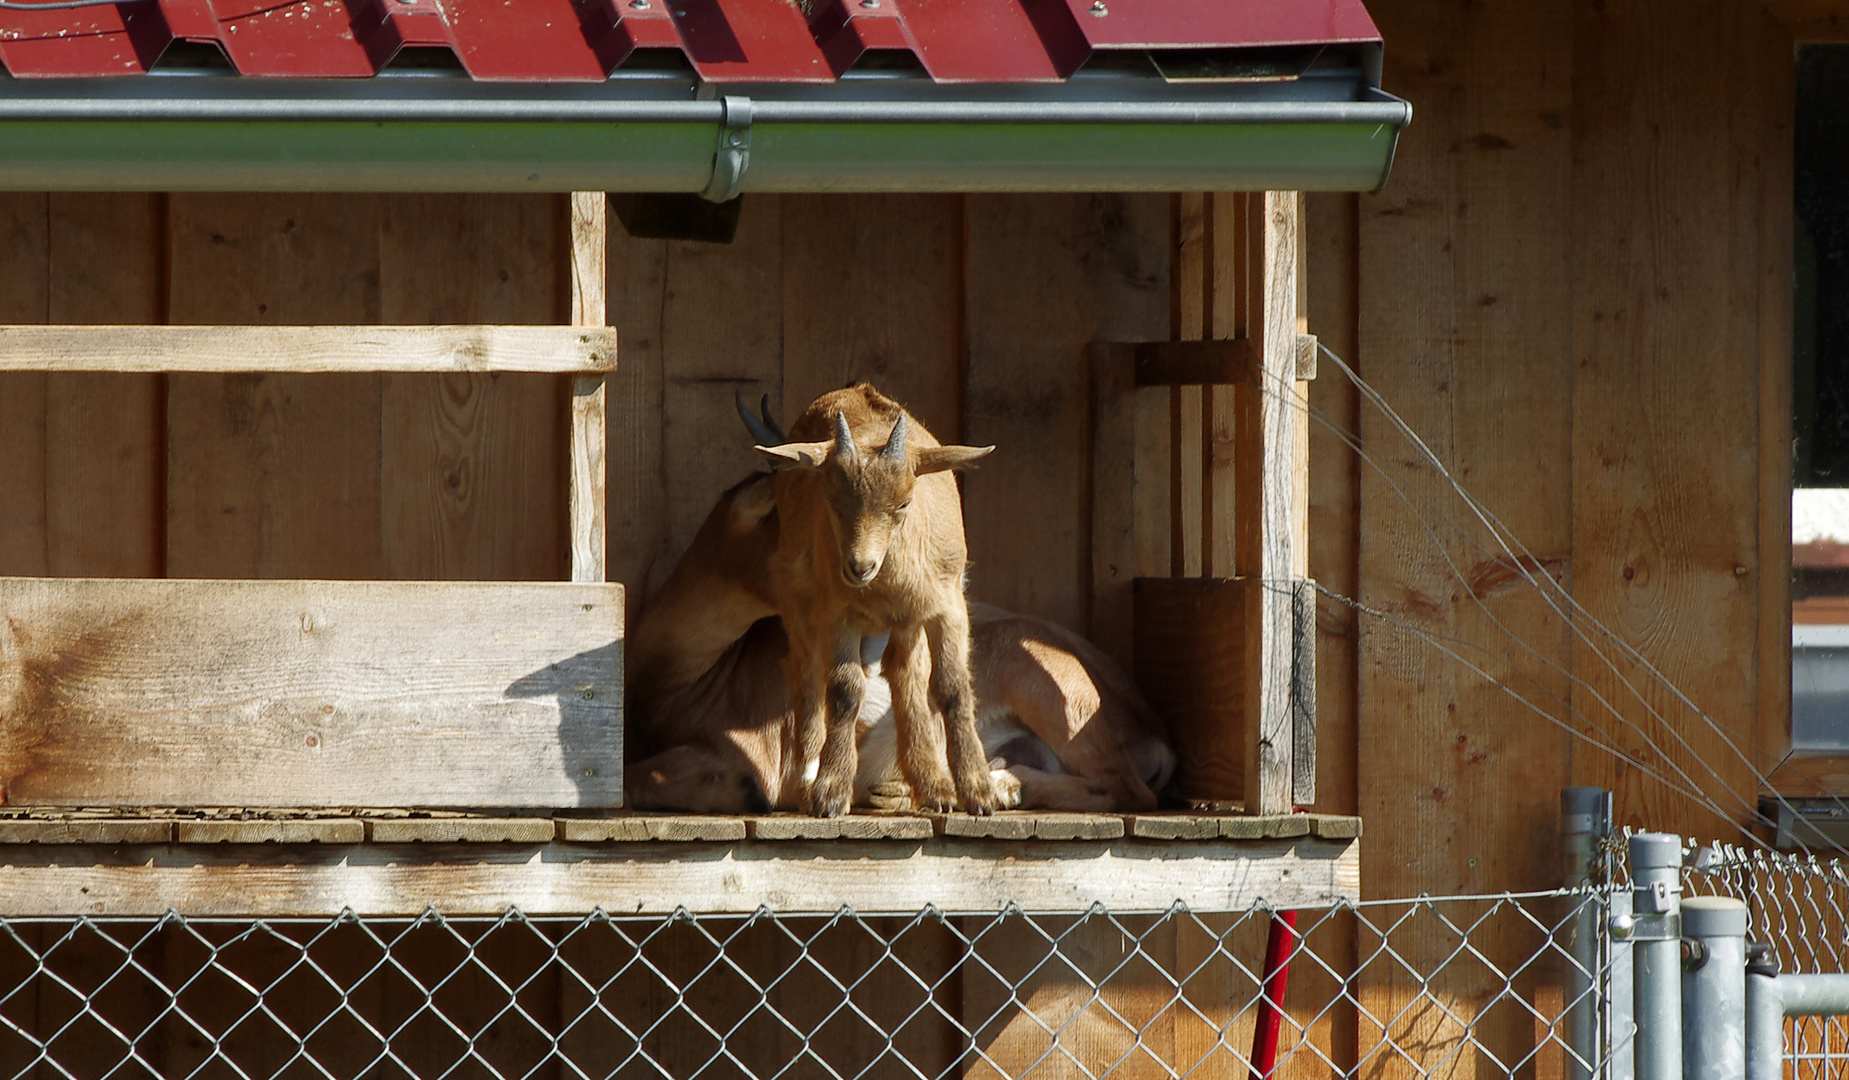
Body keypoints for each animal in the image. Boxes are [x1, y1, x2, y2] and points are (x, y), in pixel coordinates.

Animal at [754, 384, 998, 813]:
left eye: (903, 503)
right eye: (832, 500)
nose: (859, 567)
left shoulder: (947, 605)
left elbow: (952, 687)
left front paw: (978, 792)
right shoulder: (837, 612)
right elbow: (844, 690)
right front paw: (831, 791)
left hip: (908, 621)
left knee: (905, 671)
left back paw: (933, 787)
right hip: (797, 596)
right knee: (806, 669)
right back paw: (807, 779)